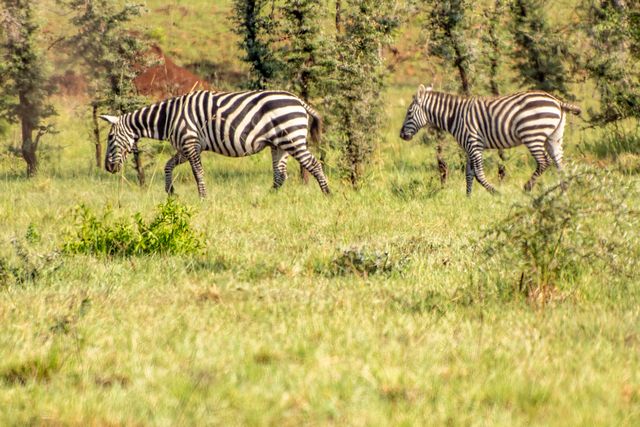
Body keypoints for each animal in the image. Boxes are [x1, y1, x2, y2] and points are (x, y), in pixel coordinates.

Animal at [101, 90, 330, 199]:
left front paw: (203, 197)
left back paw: (328, 194)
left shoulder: (190, 142)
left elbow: (198, 173)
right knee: (280, 175)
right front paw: (171, 191)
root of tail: (299, 101)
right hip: (279, 145)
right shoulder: (186, 146)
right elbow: (168, 165)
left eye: (110, 137)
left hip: (291, 139)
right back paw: (267, 197)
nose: (108, 168)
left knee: (313, 164)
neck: (168, 118)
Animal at [398, 84, 584, 195]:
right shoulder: (468, 147)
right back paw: (564, 191)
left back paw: (527, 188)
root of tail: (557, 101)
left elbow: (479, 174)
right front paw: (468, 198)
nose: (401, 135)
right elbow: (469, 173)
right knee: (559, 164)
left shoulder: (474, 144)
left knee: (544, 162)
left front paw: (496, 193)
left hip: (532, 135)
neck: (455, 116)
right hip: (554, 137)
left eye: (409, 113)